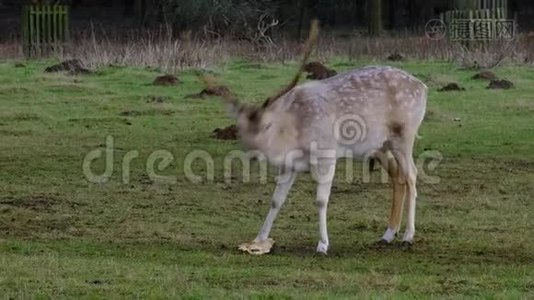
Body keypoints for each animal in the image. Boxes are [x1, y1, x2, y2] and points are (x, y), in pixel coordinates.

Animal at [207, 20, 430, 255]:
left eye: (267, 125)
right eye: (240, 128)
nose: (252, 154)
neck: (292, 134)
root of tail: (423, 87)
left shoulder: (326, 154)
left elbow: (321, 200)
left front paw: (323, 245)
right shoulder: (289, 164)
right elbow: (276, 200)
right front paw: (258, 239)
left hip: (404, 135)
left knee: (412, 174)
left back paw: (408, 236)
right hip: (381, 146)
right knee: (398, 177)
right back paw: (387, 235)